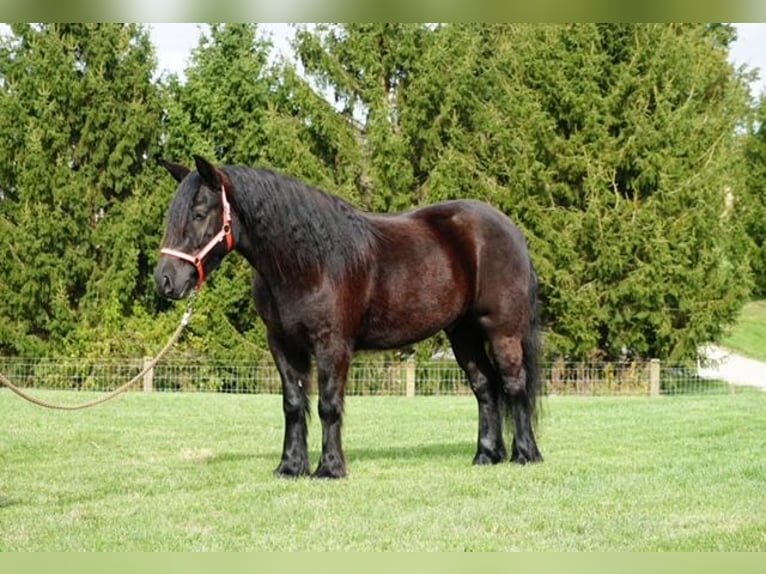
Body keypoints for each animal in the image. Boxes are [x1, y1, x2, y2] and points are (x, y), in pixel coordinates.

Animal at [154, 155, 543, 479]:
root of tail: (509, 229)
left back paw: (525, 455)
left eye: (199, 214)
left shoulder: (333, 344)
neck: (307, 263)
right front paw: (290, 467)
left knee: (514, 384)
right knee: (485, 387)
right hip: (462, 333)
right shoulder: (282, 344)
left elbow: (328, 404)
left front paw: (329, 468)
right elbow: (293, 403)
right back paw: (486, 456)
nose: (165, 279)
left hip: (503, 330)